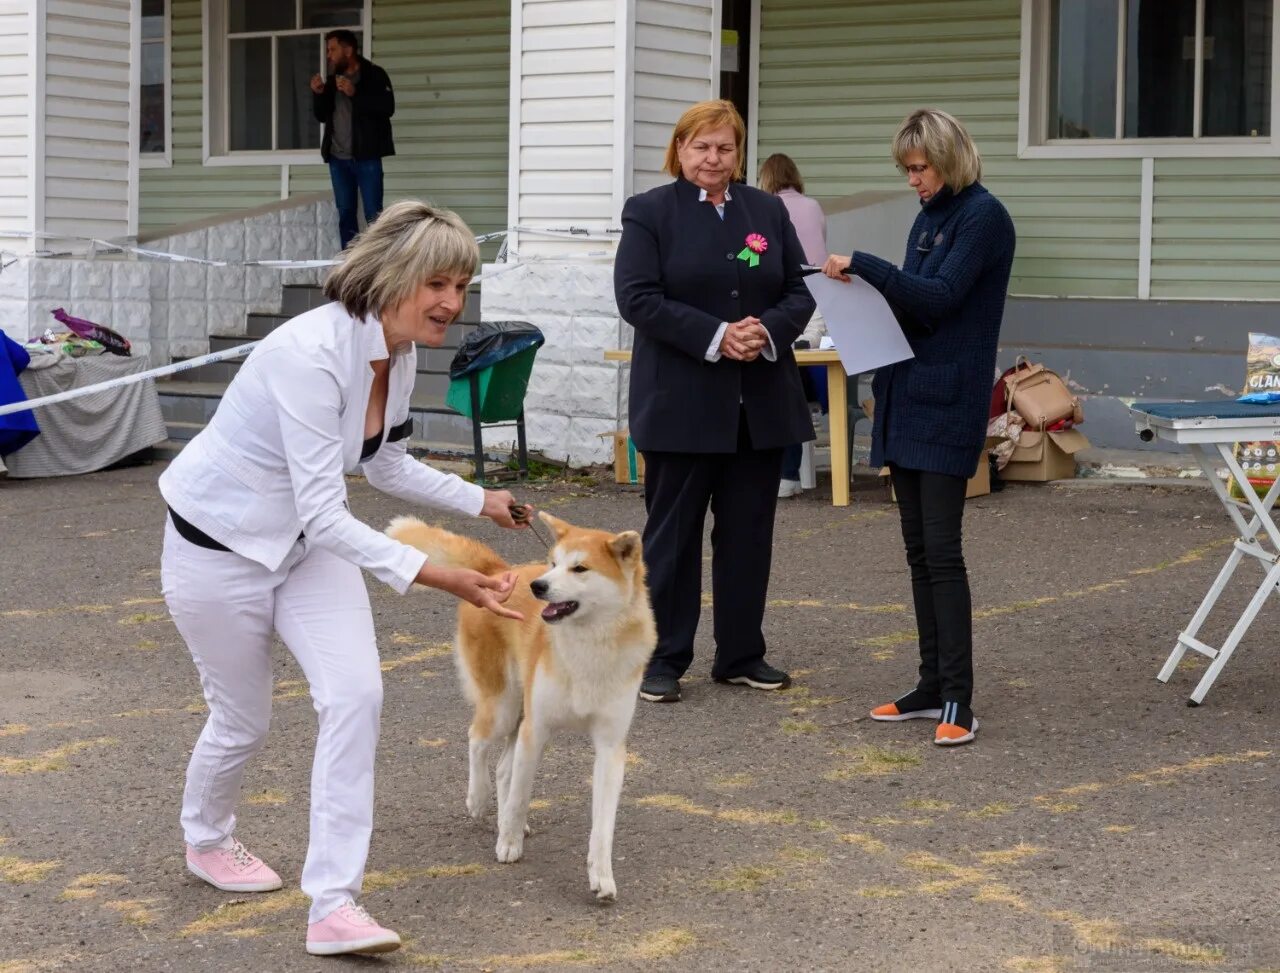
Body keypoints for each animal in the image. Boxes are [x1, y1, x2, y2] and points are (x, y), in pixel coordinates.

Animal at [384, 512, 655, 901]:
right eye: (554, 563)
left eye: (580, 568)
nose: (538, 586)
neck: (589, 645)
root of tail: (499, 571)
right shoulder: (535, 731)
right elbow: (519, 796)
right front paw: (509, 842)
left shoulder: (610, 747)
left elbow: (602, 826)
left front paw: (601, 875)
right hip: (505, 707)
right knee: (478, 741)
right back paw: (478, 799)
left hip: (517, 715)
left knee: (501, 768)